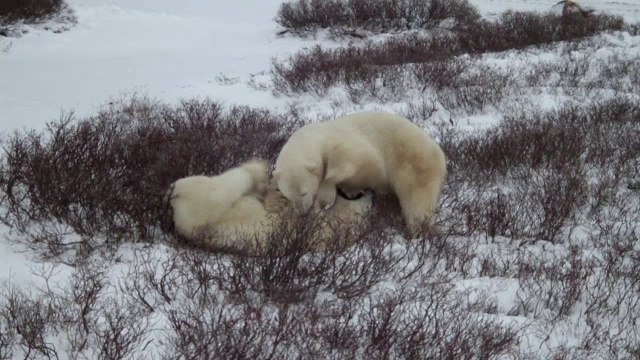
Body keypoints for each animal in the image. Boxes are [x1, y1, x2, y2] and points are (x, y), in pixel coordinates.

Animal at [272, 112, 448, 236]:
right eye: (288, 196)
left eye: (304, 193)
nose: (302, 213)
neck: (315, 137)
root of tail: (440, 154)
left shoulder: (346, 145)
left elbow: (353, 160)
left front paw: (325, 198)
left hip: (414, 163)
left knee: (416, 203)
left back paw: (419, 232)